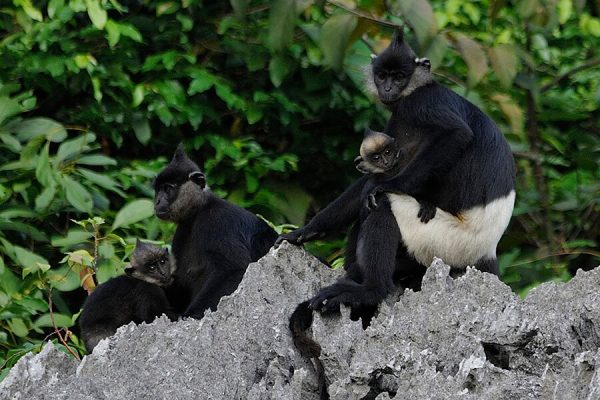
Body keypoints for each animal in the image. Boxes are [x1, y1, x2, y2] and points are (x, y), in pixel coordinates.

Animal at [154, 145, 278, 318]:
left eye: (167, 188)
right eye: (158, 190)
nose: (157, 201)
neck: (198, 210)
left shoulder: (216, 220)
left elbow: (233, 268)